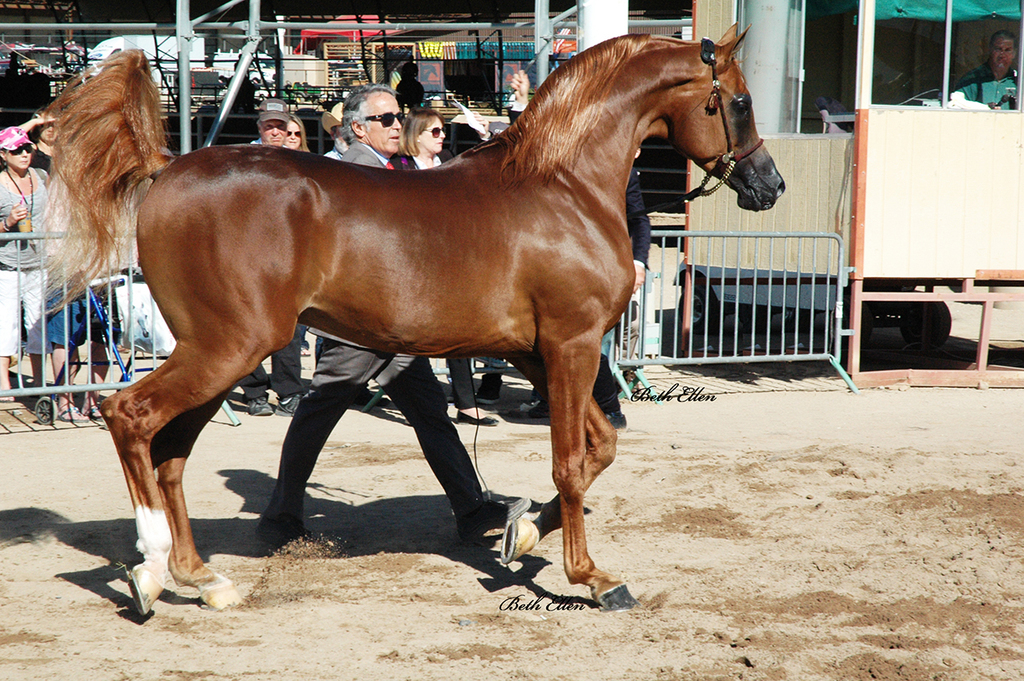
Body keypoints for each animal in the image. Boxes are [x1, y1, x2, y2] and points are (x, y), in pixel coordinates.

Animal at [45, 24, 784, 615]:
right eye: (740, 101)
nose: (770, 185)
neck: (562, 186)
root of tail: (166, 171)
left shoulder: (534, 351)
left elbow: (599, 447)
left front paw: (518, 533)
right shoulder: (571, 345)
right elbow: (571, 463)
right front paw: (592, 578)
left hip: (215, 354)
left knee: (170, 452)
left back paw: (201, 577)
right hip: (227, 348)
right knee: (130, 416)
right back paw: (149, 569)